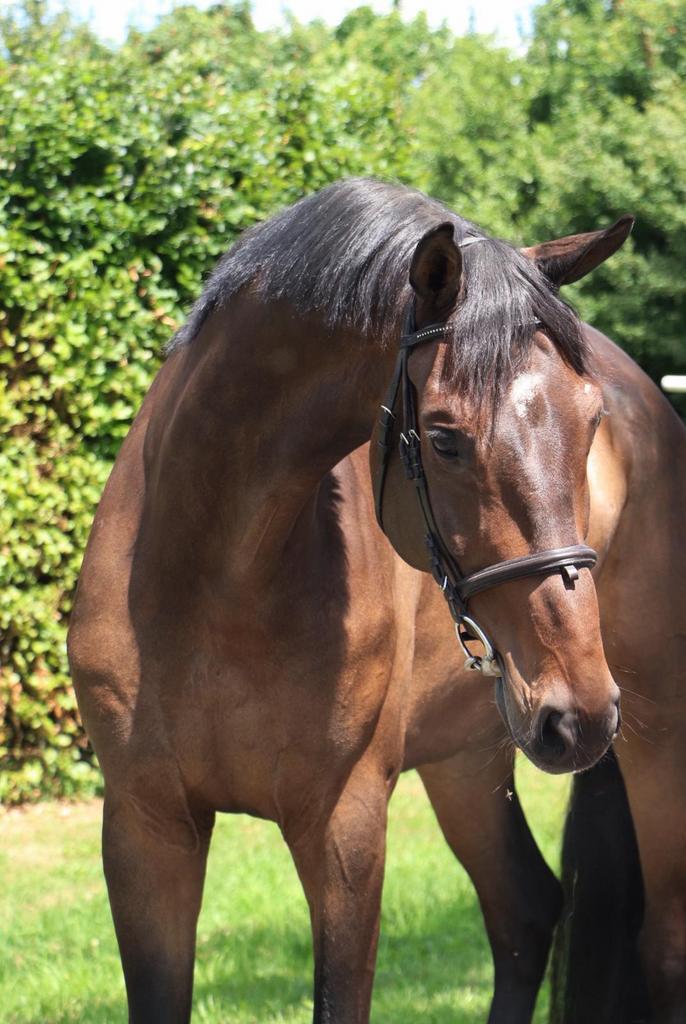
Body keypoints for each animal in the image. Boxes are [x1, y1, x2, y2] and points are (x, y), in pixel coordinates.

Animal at [67, 178, 686, 1023]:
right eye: (445, 436)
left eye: (591, 420)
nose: (582, 712)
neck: (216, 579)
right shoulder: (145, 827)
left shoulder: (345, 826)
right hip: (469, 754)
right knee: (525, 912)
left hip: (656, 735)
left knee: (661, 945)